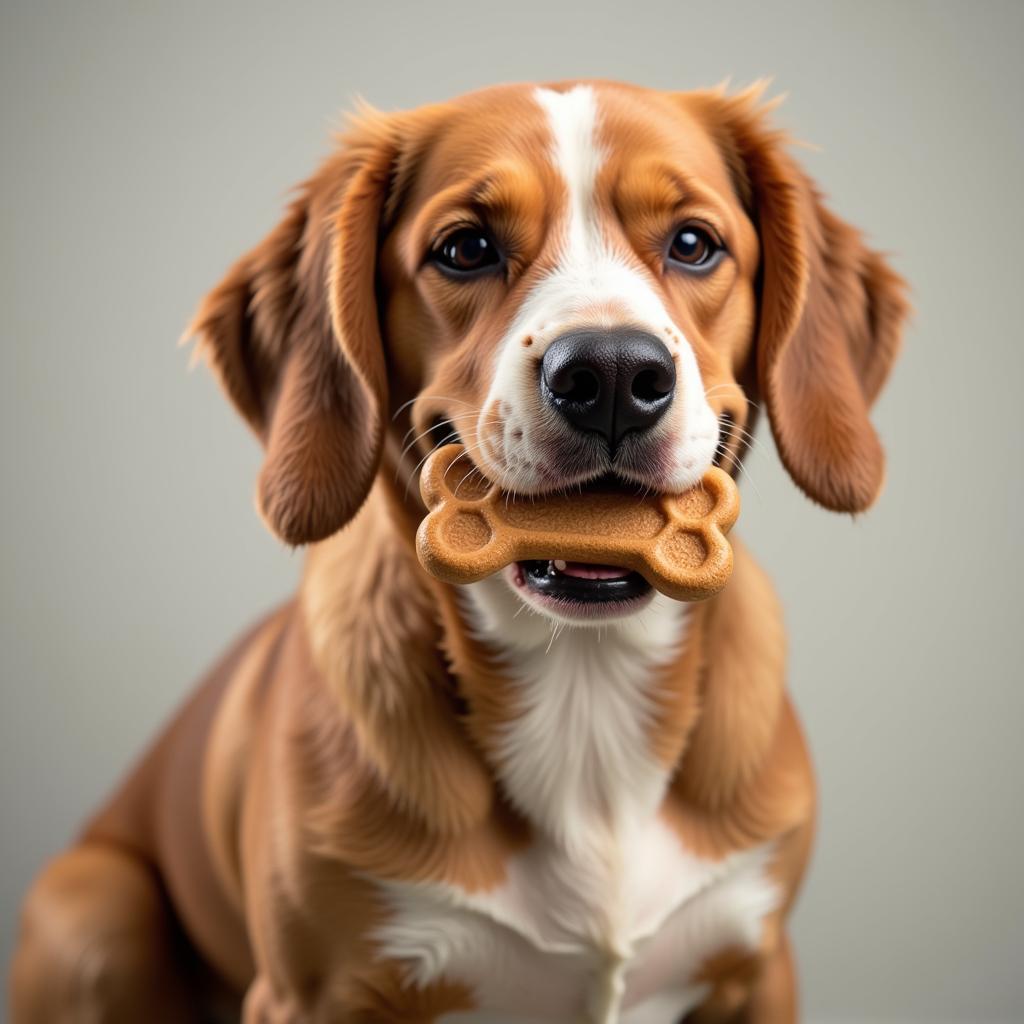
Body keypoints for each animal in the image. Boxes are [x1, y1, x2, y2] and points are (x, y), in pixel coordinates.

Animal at [8, 81, 905, 1024]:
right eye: (466, 248)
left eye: (693, 244)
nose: (612, 375)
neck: (584, 684)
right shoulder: (309, 995)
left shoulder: (759, 967)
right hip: (90, 907)